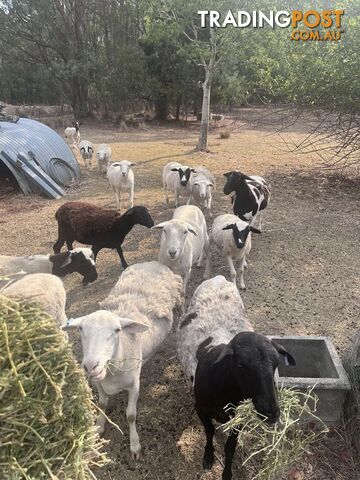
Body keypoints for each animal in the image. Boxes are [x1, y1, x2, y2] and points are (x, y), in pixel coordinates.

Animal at [62, 260, 183, 460]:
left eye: (117, 330)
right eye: (80, 329)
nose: (90, 366)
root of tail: (152, 262)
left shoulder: (134, 386)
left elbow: (131, 415)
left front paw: (135, 445)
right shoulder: (98, 384)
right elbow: (102, 405)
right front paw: (99, 427)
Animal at [176, 274, 296, 480]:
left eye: (276, 364)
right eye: (240, 365)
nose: (271, 412)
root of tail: (218, 278)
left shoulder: (238, 417)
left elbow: (230, 447)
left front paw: (227, 473)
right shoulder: (201, 409)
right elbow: (209, 432)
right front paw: (208, 457)